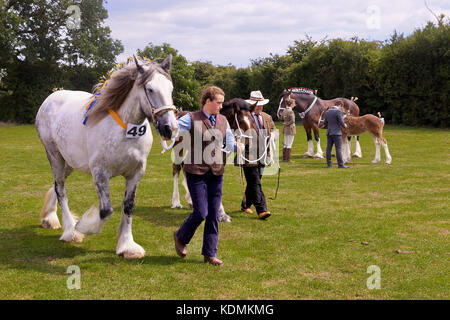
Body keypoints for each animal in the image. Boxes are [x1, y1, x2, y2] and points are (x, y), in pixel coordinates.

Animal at [36, 56, 178, 258]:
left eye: (171, 89)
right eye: (150, 89)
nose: (169, 128)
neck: (124, 132)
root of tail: (51, 98)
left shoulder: (136, 173)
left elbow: (128, 206)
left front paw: (127, 246)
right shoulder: (100, 173)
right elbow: (106, 211)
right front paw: (84, 226)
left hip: (69, 161)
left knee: (56, 185)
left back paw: (50, 218)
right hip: (55, 157)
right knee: (60, 189)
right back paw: (70, 231)